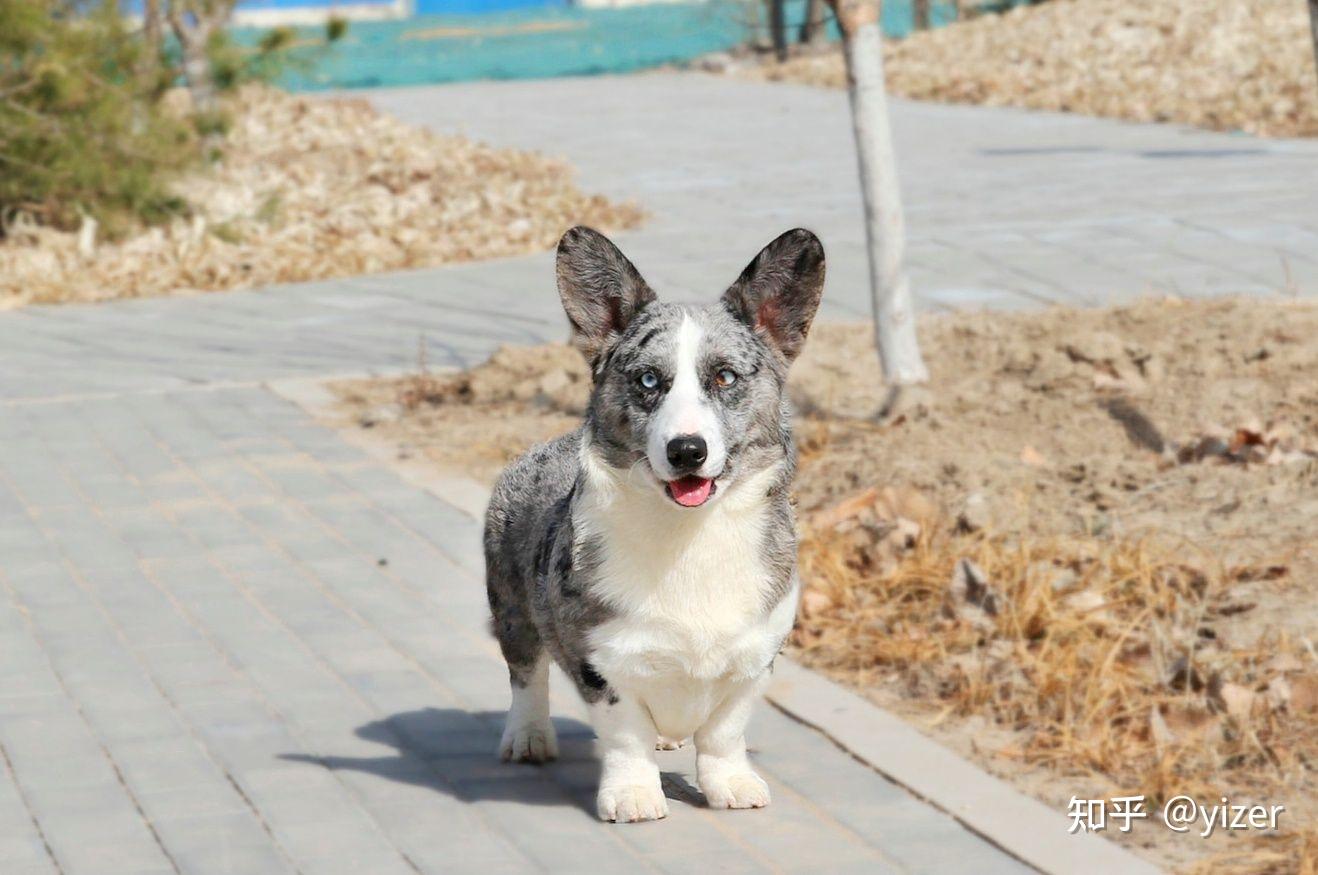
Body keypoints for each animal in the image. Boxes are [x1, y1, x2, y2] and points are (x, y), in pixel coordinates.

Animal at [485, 224, 822, 822]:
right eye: (647, 380)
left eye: (724, 377)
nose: (687, 450)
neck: (689, 536)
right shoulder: (600, 660)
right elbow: (627, 735)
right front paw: (634, 796)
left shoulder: (755, 657)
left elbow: (724, 731)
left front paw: (732, 785)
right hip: (511, 608)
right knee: (526, 674)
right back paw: (527, 738)